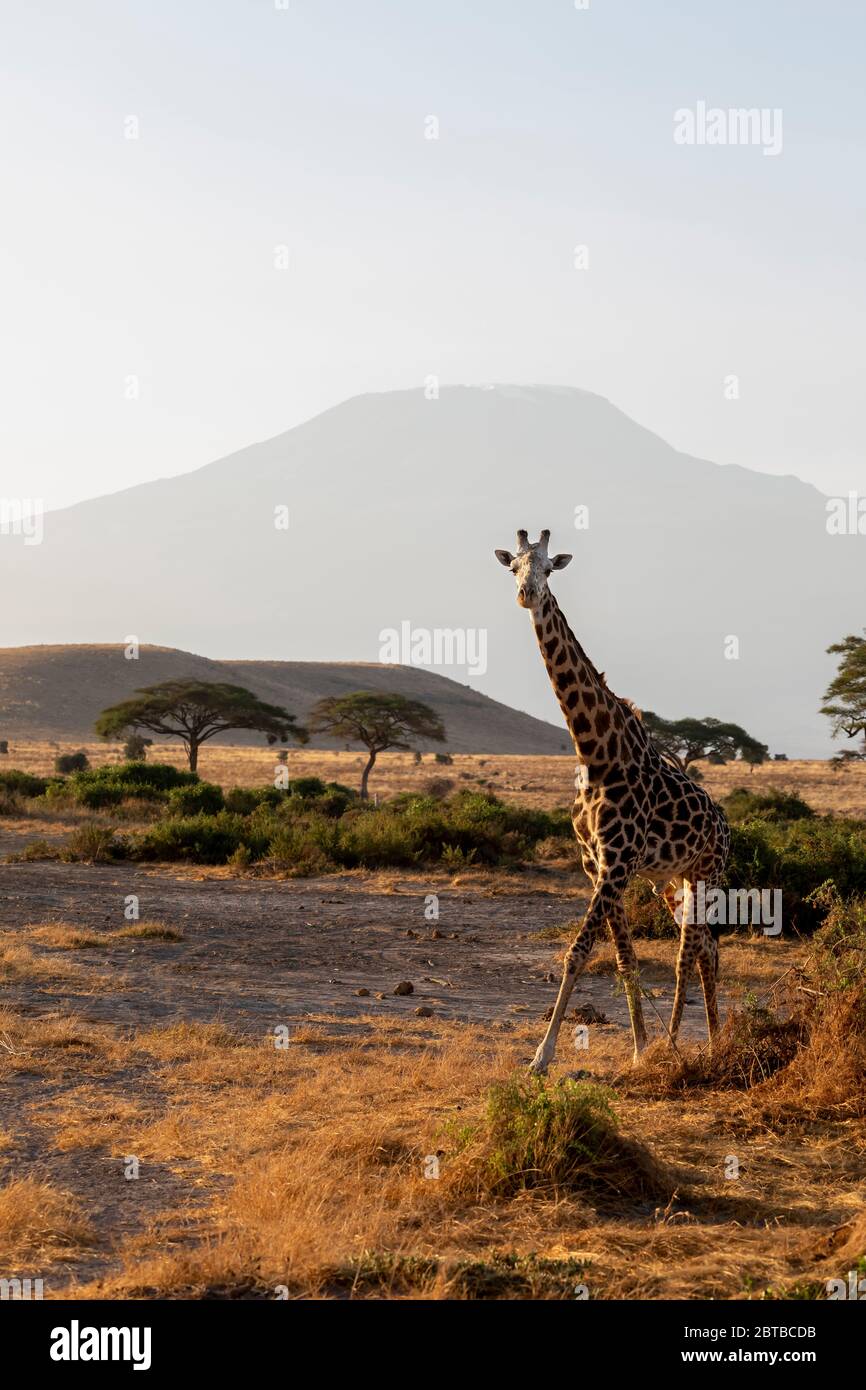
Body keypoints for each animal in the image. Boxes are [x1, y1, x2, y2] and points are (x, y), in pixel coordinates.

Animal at [494, 525, 733, 1067]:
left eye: (548, 568)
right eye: (513, 566)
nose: (526, 595)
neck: (595, 751)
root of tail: (726, 825)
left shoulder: (618, 862)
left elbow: (578, 952)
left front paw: (541, 1058)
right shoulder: (597, 863)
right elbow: (625, 956)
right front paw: (641, 1049)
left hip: (705, 874)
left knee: (691, 950)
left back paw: (688, 1043)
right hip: (671, 881)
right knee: (706, 948)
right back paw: (710, 1041)